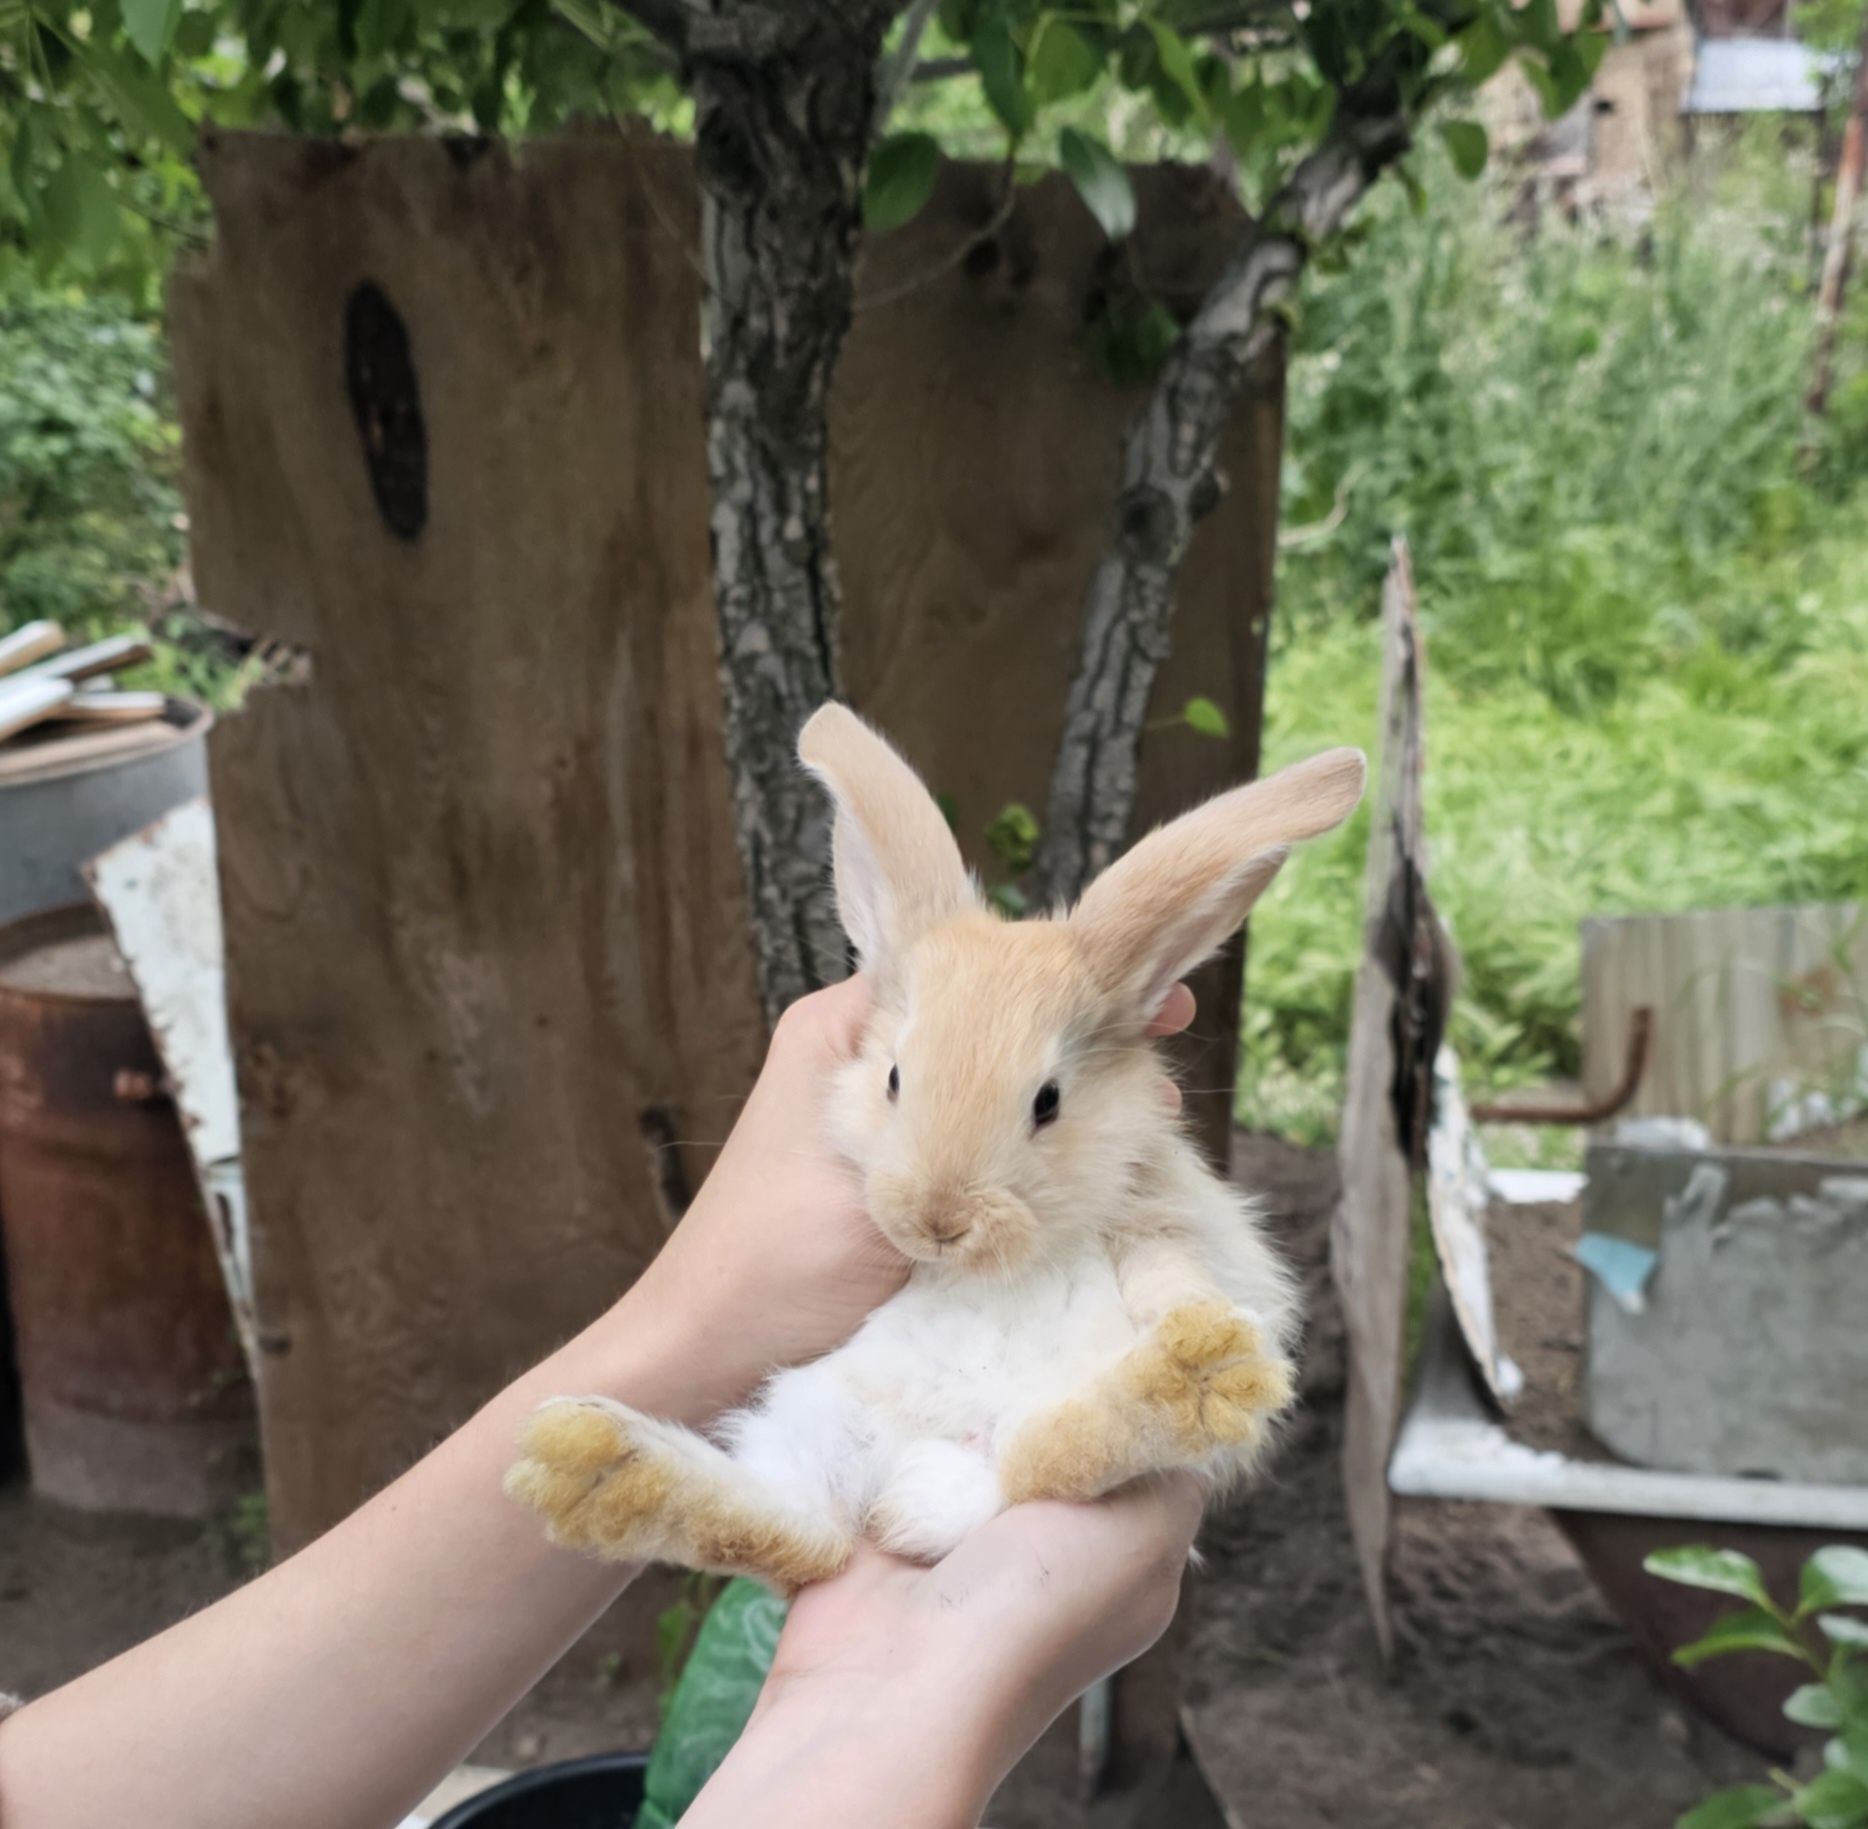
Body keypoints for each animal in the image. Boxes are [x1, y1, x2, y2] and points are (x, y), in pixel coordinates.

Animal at [504, 706, 1367, 1591]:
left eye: (1048, 1101)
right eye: (893, 1075)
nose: (939, 1220)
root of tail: (924, 1464)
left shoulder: (1158, 1215)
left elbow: (1174, 1274)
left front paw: (1209, 1332)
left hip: (1023, 1428)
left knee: (1045, 1457)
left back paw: (1194, 1381)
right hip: (823, 1413)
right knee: (808, 1532)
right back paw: (598, 1468)